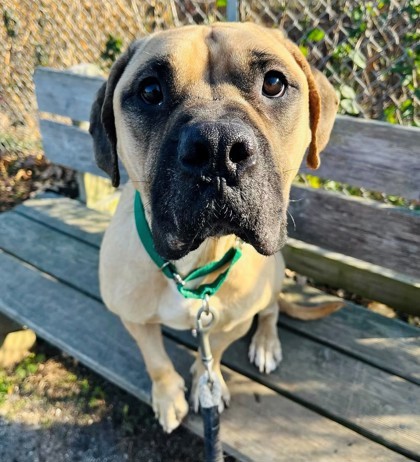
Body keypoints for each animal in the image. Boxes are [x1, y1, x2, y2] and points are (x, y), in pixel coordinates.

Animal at [88, 21, 338, 434]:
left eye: (274, 83)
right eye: (150, 91)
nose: (218, 147)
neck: (195, 261)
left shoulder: (232, 321)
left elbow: (214, 351)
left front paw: (209, 382)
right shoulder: (133, 317)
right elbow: (156, 360)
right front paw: (168, 395)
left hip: (274, 274)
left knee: (271, 310)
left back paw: (266, 343)